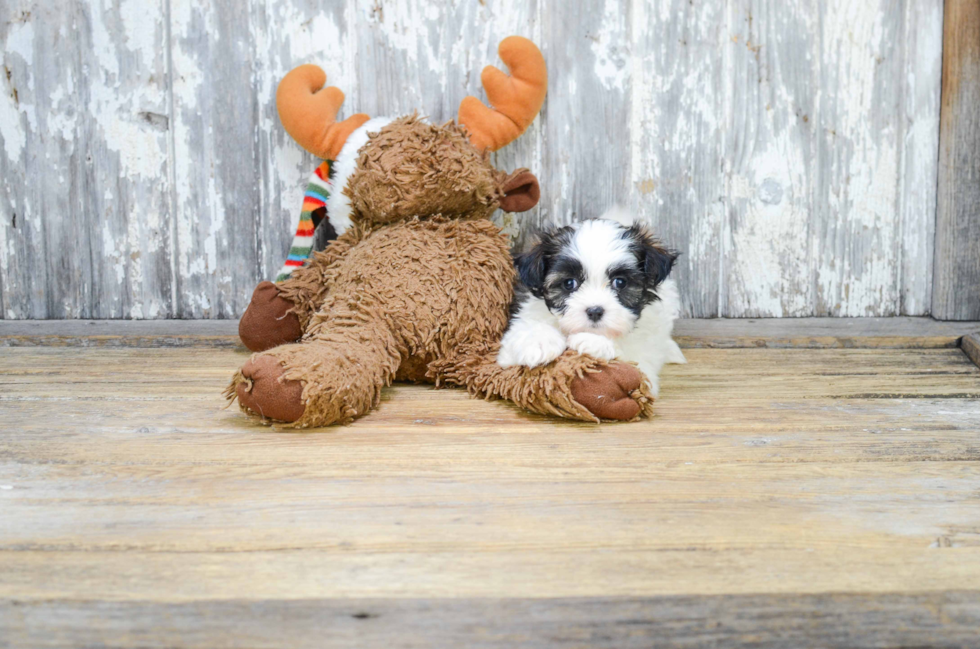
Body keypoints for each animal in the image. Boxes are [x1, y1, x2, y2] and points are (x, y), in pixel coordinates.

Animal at [498, 208, 688, 394]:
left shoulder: (644, 356)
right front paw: (539, 342)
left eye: (620, 282)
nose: (595, 311)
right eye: (569, 283)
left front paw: (594, 342)